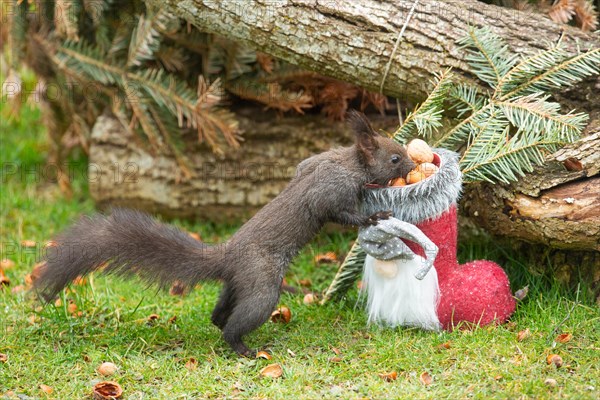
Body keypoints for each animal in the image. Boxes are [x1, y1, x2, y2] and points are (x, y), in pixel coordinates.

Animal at [35, 110, 414, 356]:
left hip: (237, 283)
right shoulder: (329, 192)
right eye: (395, 158)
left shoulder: (313, 162)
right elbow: (341, 213)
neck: (349, 162)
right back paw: (244, 348)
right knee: (235, 324)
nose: (411, 164)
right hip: (262, 285)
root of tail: (227, 256)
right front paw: (375, 214)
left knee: (219, 314)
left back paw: (224, 327)